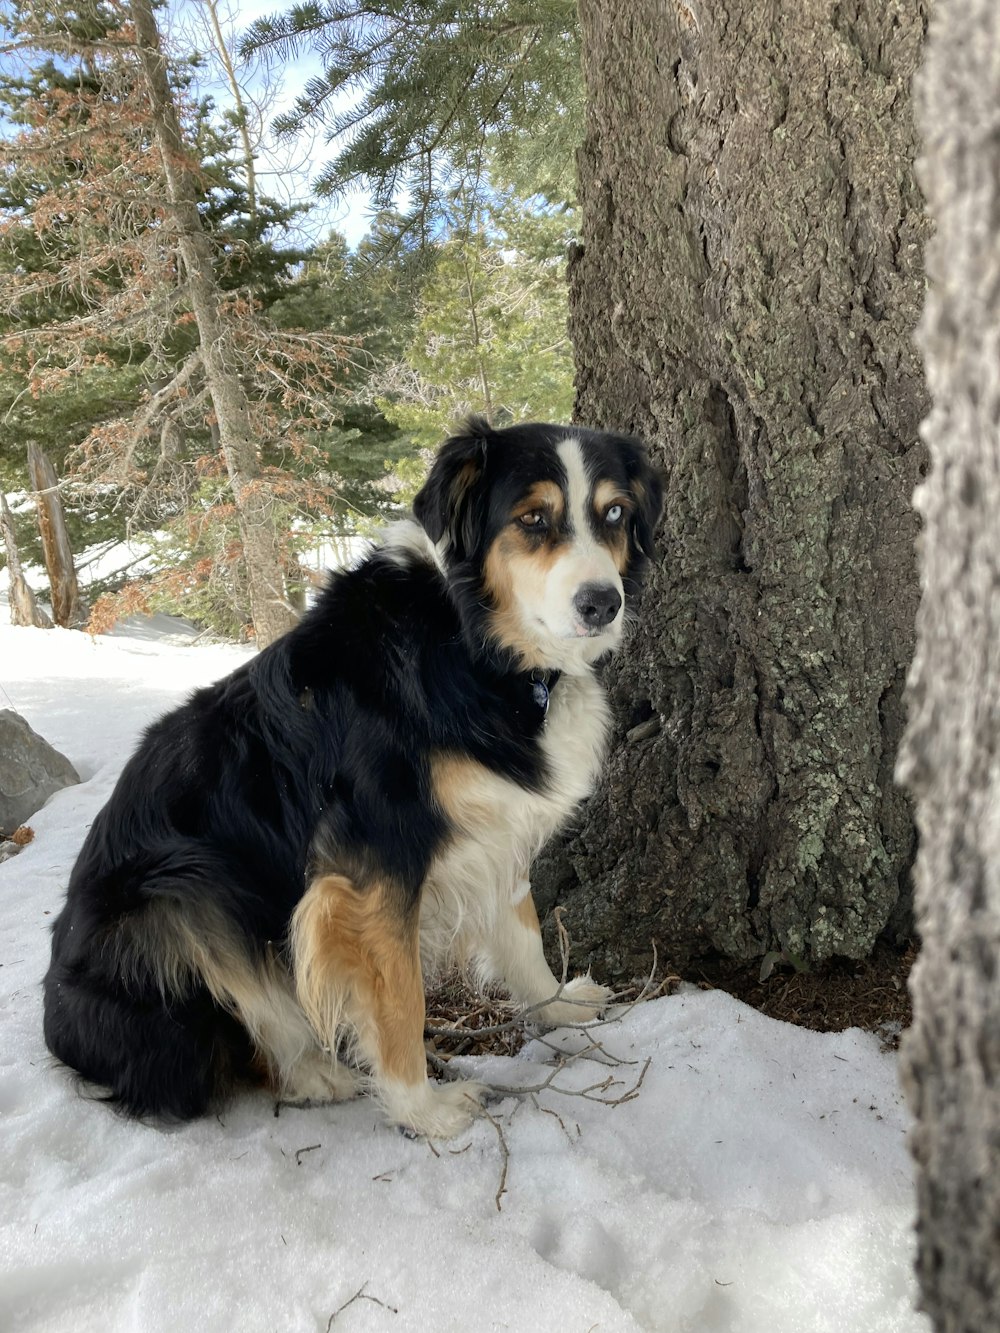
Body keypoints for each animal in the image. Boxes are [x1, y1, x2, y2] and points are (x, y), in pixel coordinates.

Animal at [43, 415, 666, 1135]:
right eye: (533, 518)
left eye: (613, 513)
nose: (602, 604)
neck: (467, 640)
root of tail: (55, 1027)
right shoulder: (372, 870)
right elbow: (400, 1000)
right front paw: (423, 1108)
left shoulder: (498, 827)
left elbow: (523, 933)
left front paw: (557, 1005)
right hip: (178, 892)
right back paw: (315, 1074)